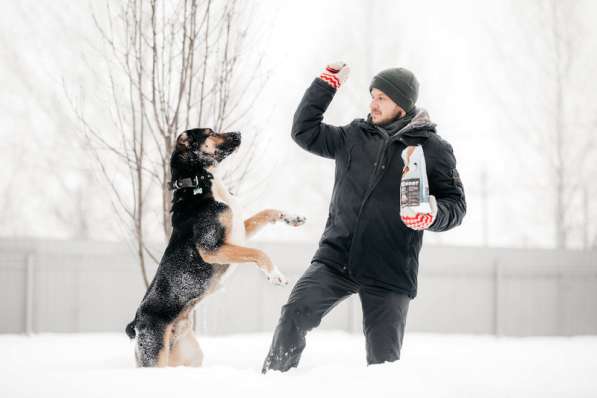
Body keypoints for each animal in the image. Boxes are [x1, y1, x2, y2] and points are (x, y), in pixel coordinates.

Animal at [124, 127, 304, 366]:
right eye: (210, 132)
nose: (239, 133)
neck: (199, 183)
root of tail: (135, 322)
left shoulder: (239, 232)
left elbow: (267, 212)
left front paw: (292, 218)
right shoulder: (211, 248)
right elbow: (259, 252)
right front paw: (275, 275)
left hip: (190, 356)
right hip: (155, 356)